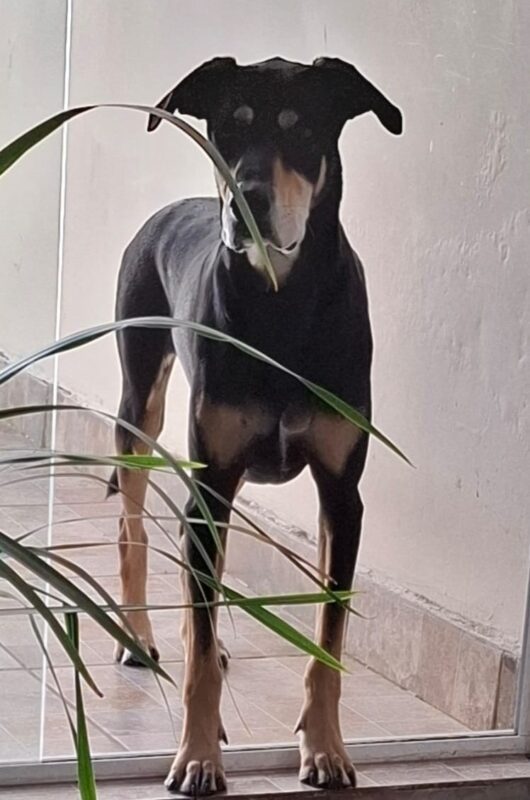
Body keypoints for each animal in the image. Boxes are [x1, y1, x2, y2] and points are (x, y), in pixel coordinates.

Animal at [108, 56, 402, 794]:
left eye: (300, 127)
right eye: (227, 128)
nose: (249, 196)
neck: (282, 302)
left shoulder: (341, 495)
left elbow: (328, 636)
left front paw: (325, 750)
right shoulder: (211, 482)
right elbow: (201, 651)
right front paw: (196, 757)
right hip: (140, 401)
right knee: (133, 527)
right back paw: (140, 636)